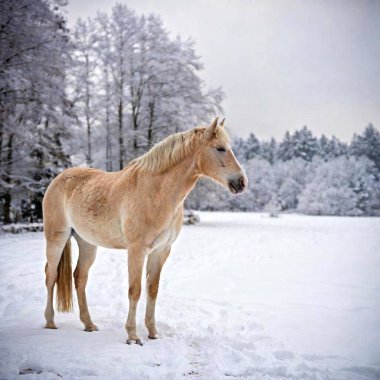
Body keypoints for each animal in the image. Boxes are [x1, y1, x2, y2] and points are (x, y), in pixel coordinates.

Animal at [43, 116, 248, 344]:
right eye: (220, 148)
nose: (241, 182)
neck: (155, 193)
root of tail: (58, 179)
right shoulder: (137, 249)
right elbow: (135, 290)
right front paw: (132, 335)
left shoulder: (161, 251)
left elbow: (152, 289)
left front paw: (153, 332)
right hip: (56, 238)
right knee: (51, 275)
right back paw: (50, 322)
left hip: (87, 243)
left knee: (80, 278)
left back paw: (89, 324)